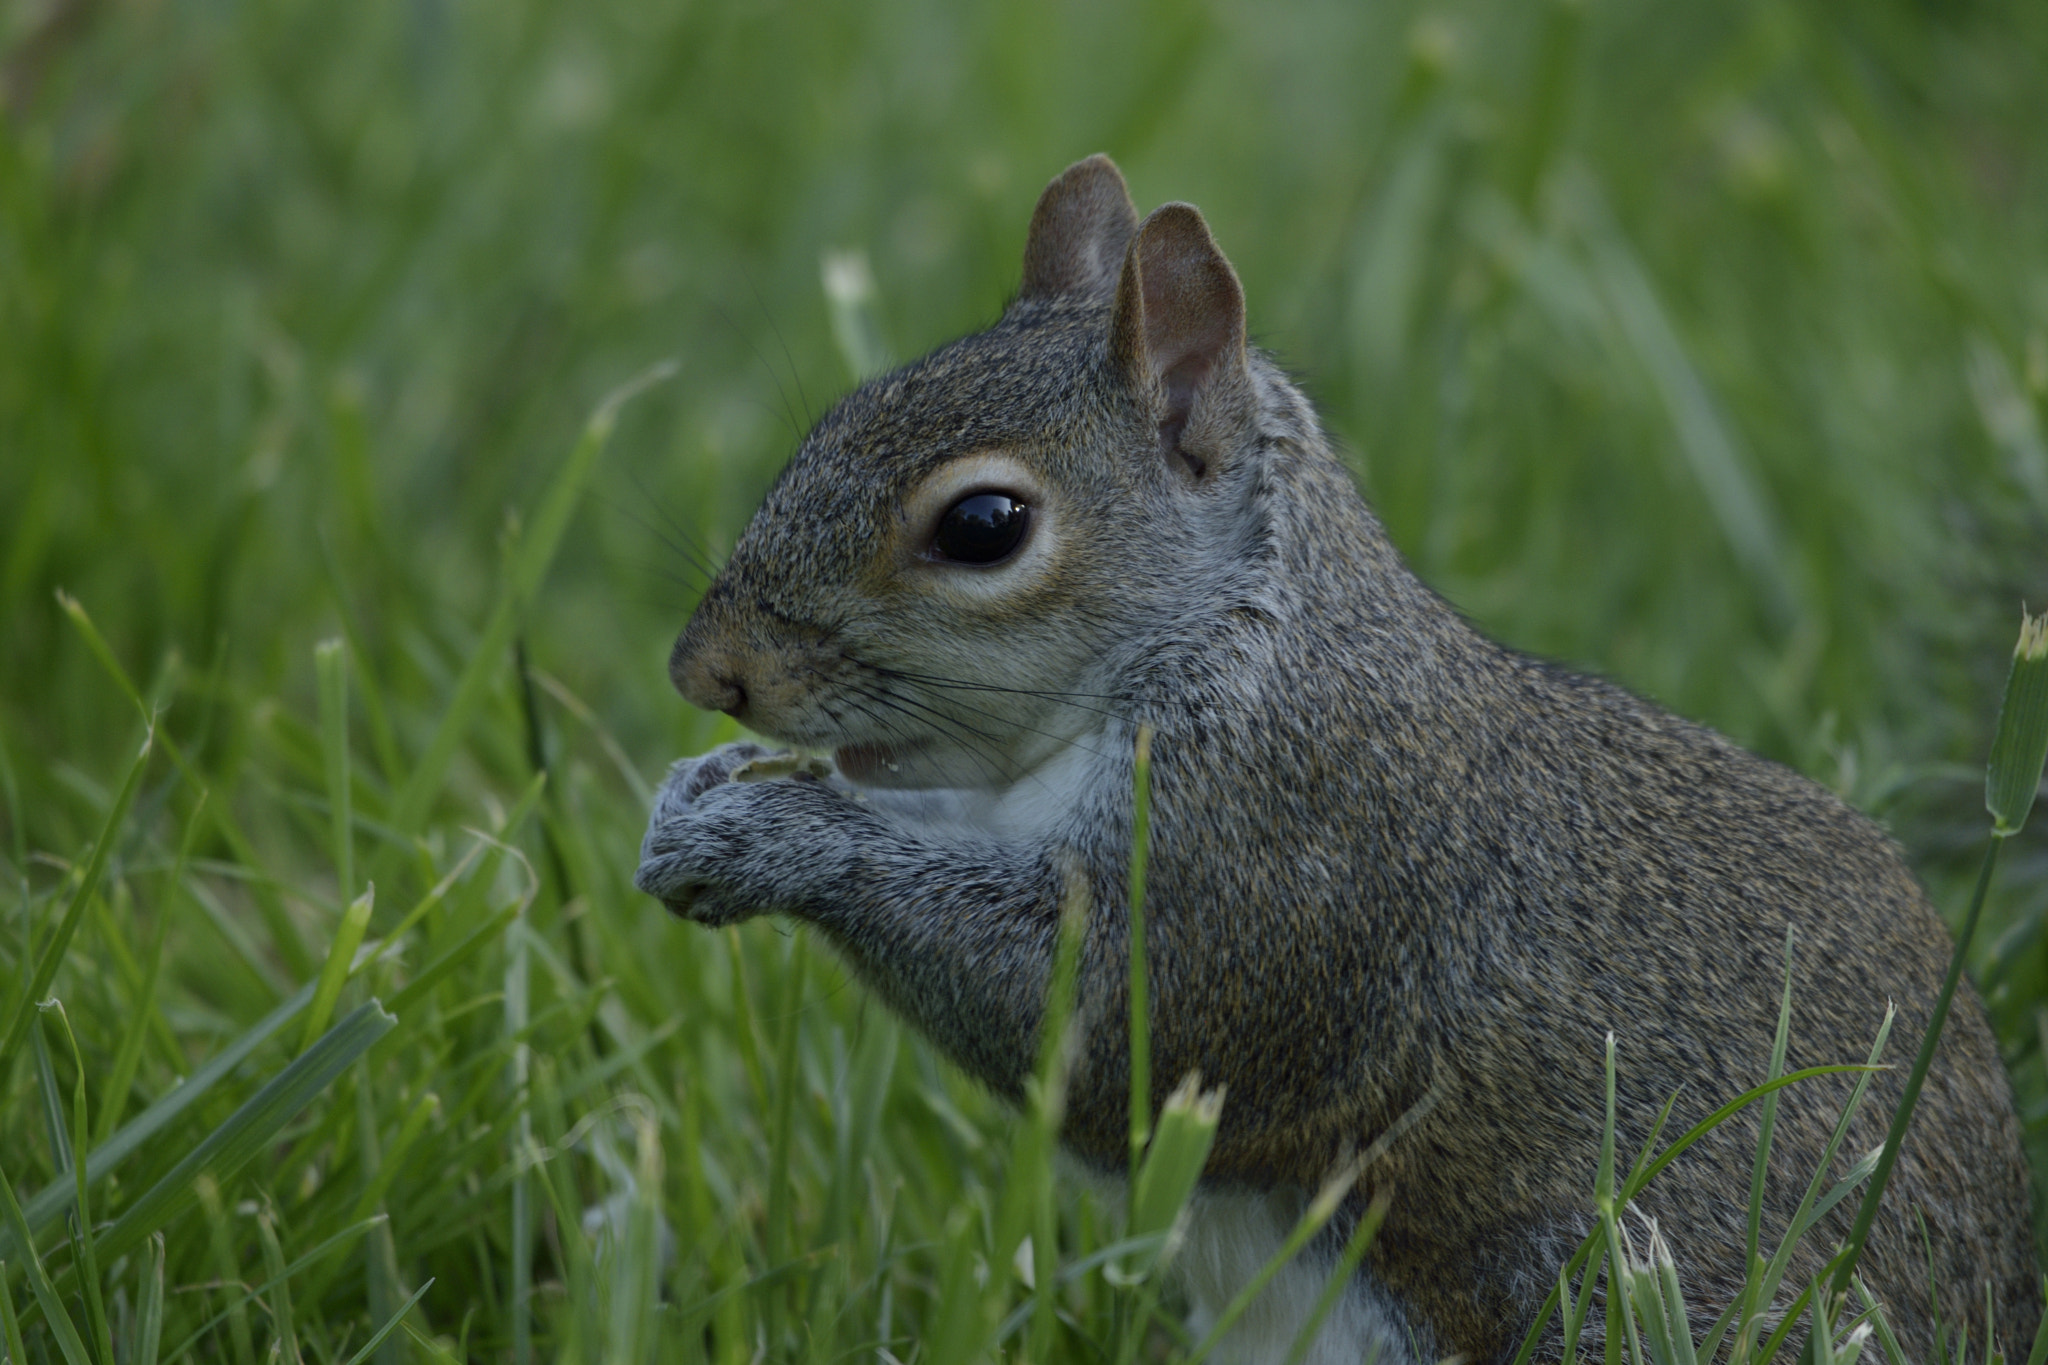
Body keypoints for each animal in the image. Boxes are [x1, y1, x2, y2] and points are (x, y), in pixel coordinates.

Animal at [630, 160, 2039, 1365]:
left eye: (984, 524)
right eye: (839, 415)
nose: (707, 672)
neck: (1220, 643)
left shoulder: (1284, 863)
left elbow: (1092, 1014)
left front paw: (765, 840)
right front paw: (697, 791)